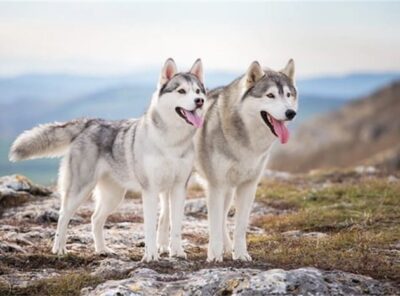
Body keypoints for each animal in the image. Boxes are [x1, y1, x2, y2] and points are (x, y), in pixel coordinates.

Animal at [9, 58, 206, 262]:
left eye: (198, 91)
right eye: (181, 91)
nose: (199, 101)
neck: (172, 142)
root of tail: (89, 122)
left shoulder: (179, 188)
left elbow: (176, 226)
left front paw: (177, 252)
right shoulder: (150, 190)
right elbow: (150, 228)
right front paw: (151, 256)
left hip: (114, 196)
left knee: (95, 219)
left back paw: (102, 250)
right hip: (80, 190)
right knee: (63, 216)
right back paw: (59, 249)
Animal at [195, 59, 296, 262]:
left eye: (288, 95)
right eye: (270, 95)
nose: (291, 113)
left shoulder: (248, 186)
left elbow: (240, 226)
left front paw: (240, 254)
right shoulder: (216, 185)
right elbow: (214, 224)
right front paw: (214, 256)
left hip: (227, 190)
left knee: (223, 218)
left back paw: (227, 248)